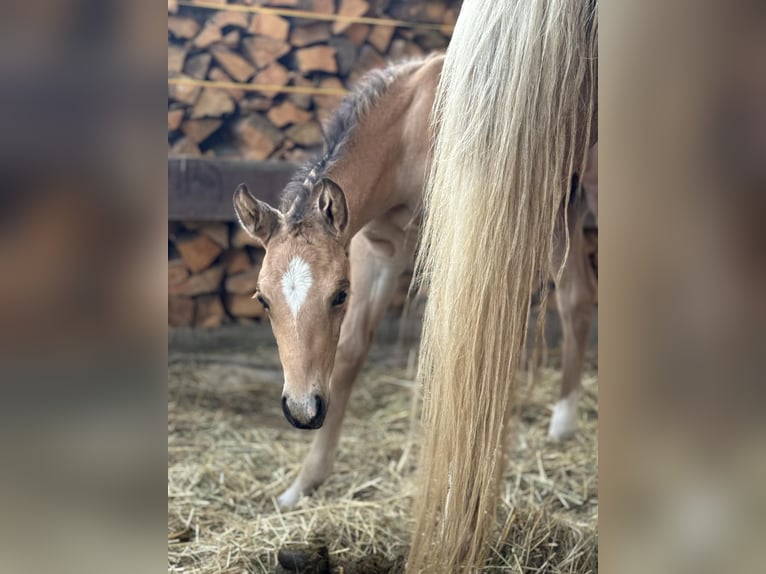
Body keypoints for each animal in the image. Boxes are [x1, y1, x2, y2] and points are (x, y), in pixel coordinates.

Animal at [234, 49, 600, 512]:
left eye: (338, 295)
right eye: (262, 299)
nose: (302, 410)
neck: (409, 130)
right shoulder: (375, 250)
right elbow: (351, 351)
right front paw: (303, 483)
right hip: (561, 214)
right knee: (576, 299)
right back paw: (562, 425)